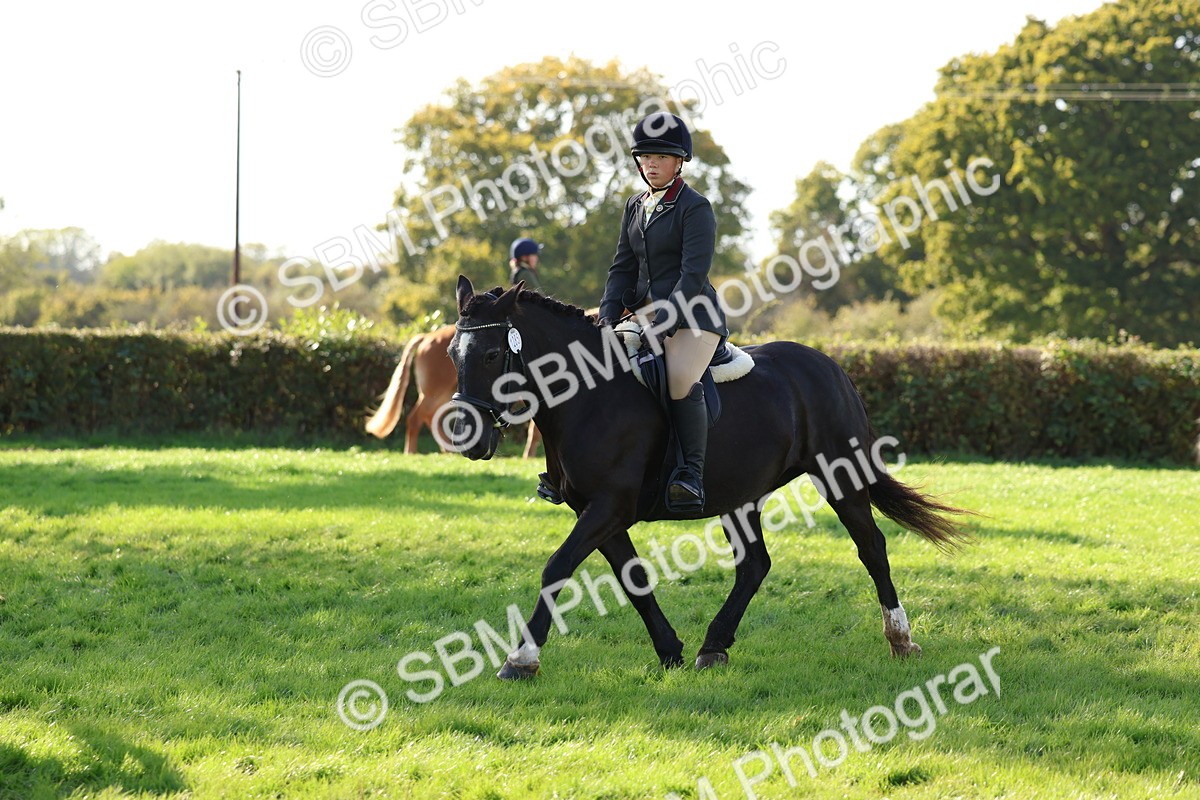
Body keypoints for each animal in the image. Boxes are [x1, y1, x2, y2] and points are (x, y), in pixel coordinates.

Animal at [365, 323, 543, 458]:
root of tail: (427, 336)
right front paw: (529, 456)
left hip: (445, 395)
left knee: (430, 416)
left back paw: (448, 450)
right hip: (435, 393)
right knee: (416, 418)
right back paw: (411, 452)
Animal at [447, 276, 975, 679]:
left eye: (492, 355)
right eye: (453, 352)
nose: (468, 438)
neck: (589, 395)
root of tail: (830, 365)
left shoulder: (609, 507)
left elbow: (557, 567)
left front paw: (521, 658)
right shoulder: (599, 512)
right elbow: (633, 579)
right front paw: (670, 650)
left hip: (838, 476)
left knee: (871, 548)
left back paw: (901, 639)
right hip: (740, 497)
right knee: (755, 565)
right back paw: (713, 646)